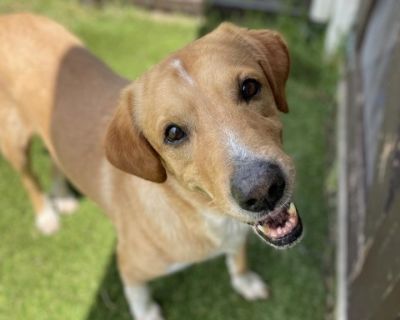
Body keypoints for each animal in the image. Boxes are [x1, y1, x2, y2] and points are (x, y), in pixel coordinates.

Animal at [0, 13, 302, 320]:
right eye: (173, 133)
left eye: (249, 87)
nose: (262, 190)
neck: (203, 213)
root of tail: (11, 17)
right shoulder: (129, 266)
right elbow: (140, 299)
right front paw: (148, 313)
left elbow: (238, 257)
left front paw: (245, 281)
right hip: (14, 143)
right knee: (29, 179)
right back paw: (47, 216)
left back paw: (61, 196)